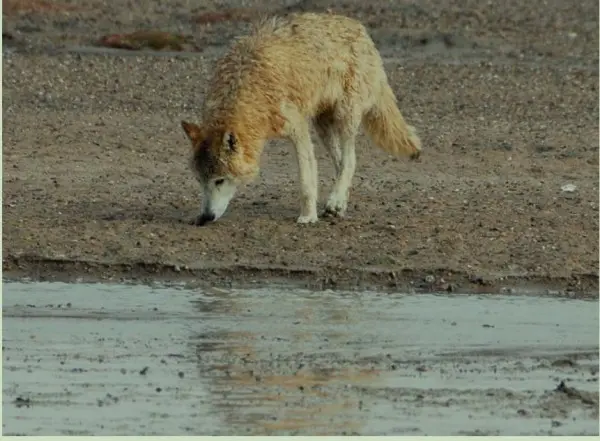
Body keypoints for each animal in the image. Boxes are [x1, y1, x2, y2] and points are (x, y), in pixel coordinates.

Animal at [181, 12, 421, 226]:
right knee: (341, 164)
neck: (248, 89)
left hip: (345, 116)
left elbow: (306, 180)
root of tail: (362, 31)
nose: (205, 217)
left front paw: (307, 217)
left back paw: (335, 202)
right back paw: (338, 205)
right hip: (323, 126)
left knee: (349, 160)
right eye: (200, 180)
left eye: (220, 180)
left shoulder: (299, 129)